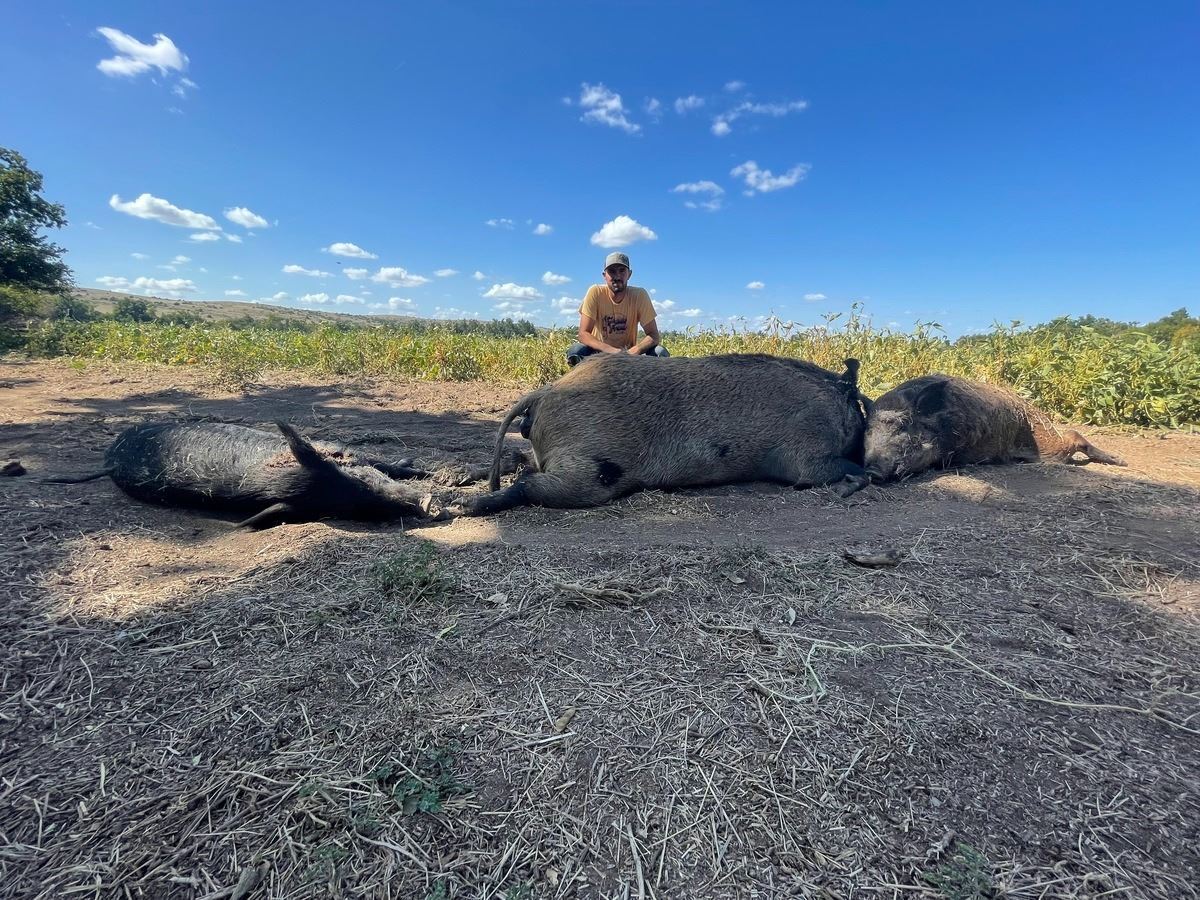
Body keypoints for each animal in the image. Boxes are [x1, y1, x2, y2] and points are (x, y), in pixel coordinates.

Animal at [44, 422, 439, 528]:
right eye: (357, 506)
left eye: (361, 481)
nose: (426, 502)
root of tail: (110, 459)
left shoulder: (338, 446)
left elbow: (386, 461)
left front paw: (424, 469)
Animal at [457, 353, 870, 516]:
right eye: (862, 412)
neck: (834, 404)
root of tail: (544, 392)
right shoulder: (805, 458)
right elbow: (833, 471)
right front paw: (856, 479)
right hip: (593, 471)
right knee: (528, 484)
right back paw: (459, 506)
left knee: (520, 464)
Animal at [862, 374, 1127, 481]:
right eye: (868, 431)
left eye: (902, 426)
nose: (872, 471)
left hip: (1050, 446)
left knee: (1073, 436)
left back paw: (1121, 462)